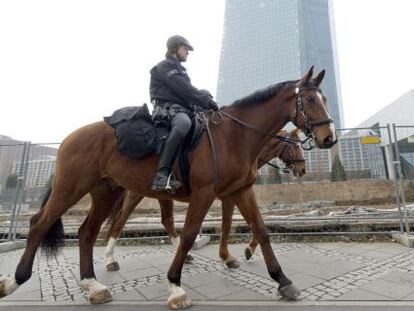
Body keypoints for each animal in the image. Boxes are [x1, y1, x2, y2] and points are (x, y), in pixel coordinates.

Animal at [103, 128, 304, 272]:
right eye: (295, 146)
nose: (302, 170)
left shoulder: (235, 195)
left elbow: (246, 222)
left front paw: (244, 251)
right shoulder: (229, 196)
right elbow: (230, 224)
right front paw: (238, 253)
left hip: (164, 196)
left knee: (167, 221)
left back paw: (185, 256)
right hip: (136, 194)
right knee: (120, 221)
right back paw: (110, 260)